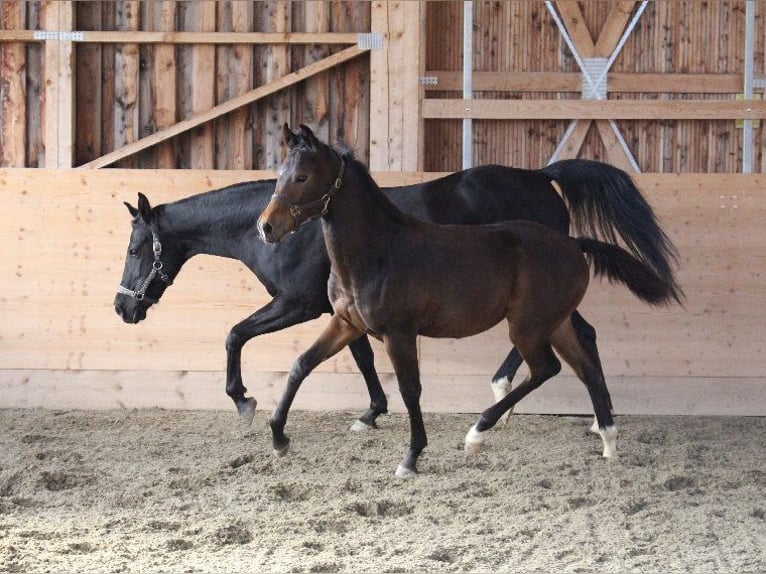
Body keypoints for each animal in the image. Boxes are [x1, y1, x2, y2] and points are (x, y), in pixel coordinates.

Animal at [112, 158, 680, 432]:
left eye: (137, 247)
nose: (123, 307)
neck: (283, 228)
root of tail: (541, 176)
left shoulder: (298, 304)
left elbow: (234, 334)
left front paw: (243, 400)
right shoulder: (342, 311)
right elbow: (363, 359)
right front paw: (372, 412)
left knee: (555, 340)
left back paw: (509, 401)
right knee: (578, 335)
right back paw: (586, 419)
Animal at [258, 127, 680, 482]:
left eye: (302, 177)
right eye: (279, 175)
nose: (266, 227)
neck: (378, 252)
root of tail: (575, 244)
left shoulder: (399, 333)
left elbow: (410, 389)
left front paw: (411, 458)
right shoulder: (346, 323)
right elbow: (300, 365)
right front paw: (279, 438)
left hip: (527, 326)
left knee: (546, 368)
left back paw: (478, 432)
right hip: (555, 324)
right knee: (583, 365)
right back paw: (607, 439)